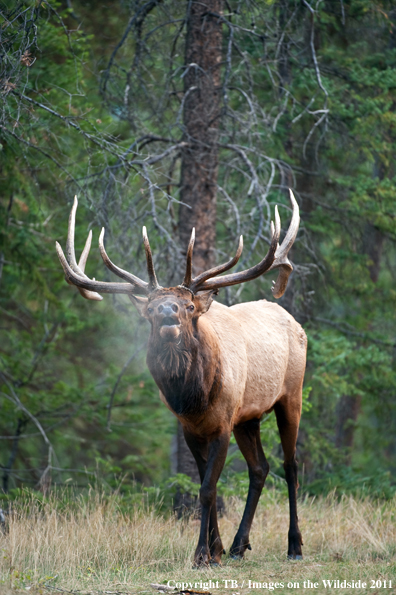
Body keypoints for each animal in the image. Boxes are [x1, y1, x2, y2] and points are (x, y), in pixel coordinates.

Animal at [56, 192, 306, 568]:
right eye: (149, 309)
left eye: (188, 306)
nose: (166, 311)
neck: (194, 399)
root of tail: (292, 318)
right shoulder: (191, 429)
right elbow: (206, 485)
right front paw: (215, 551)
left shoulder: (222, 424)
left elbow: (206, 490)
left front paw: (202, 553)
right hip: (247, 417)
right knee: (260, 468)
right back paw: (238, 546)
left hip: (291, 394)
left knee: (290, 466)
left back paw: (294, 545)